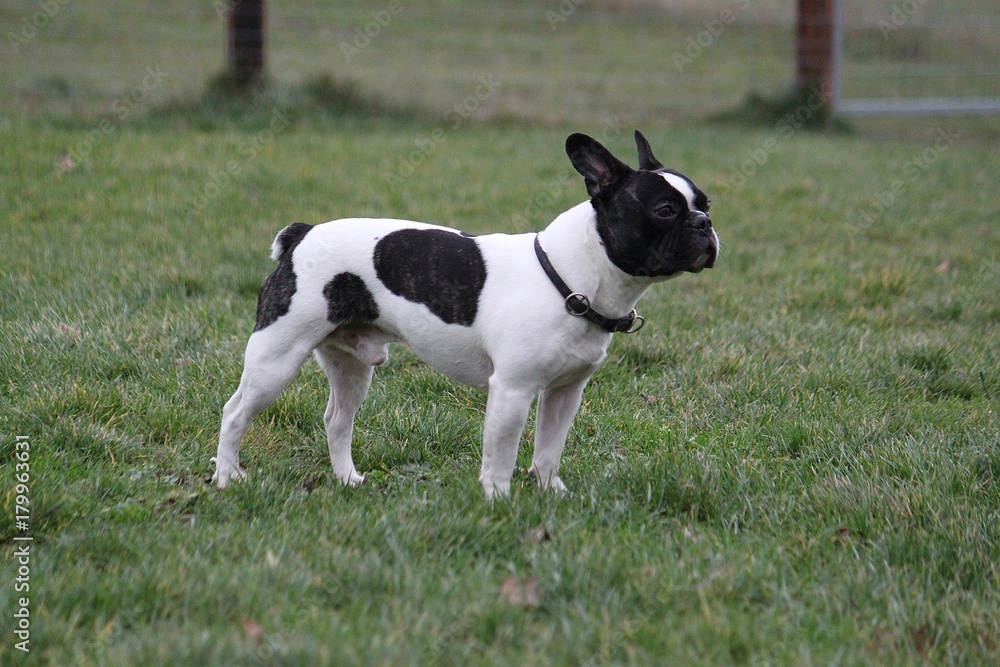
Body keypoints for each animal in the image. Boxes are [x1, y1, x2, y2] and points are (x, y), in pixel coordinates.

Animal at [215, 130, 724, 498]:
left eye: (706, 205)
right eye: (664, 210)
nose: (705, 225)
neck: (572, 278)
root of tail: (302, 235)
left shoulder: (565, 394)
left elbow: (549, 449)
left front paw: (551, 492)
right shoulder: (512, 391)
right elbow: (501, 455)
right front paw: (498, 500)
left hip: (351, 365)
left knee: (337, 420)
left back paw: (346, 479)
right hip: (276, 359)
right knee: (235, 412)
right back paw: (226, 477)